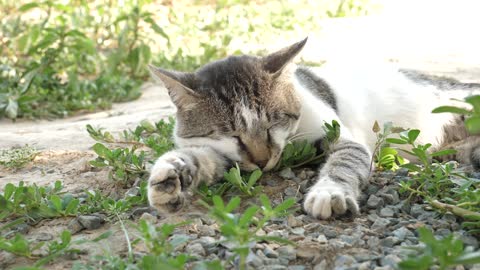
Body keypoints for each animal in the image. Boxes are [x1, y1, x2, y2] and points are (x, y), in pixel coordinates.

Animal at [148, 37, 478, 219]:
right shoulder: (228, 158)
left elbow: (345, 163)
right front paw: (171, 174)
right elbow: (201, 158)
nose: (263, 160)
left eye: (273, 122)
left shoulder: (344, 138)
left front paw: (330, 192)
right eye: (231, 135)